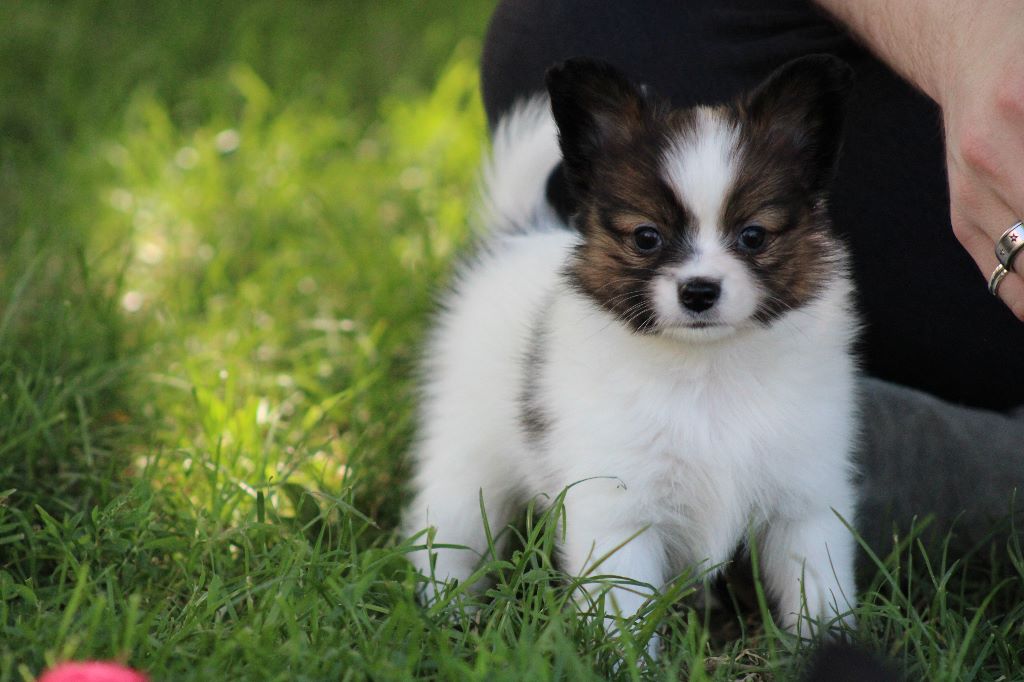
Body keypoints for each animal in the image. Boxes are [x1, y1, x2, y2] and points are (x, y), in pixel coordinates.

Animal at [403, 54, 860, 655]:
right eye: (647, 237)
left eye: (754, 236)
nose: (699, 291)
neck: (707, 371)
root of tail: (517, 237)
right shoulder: (619, 511)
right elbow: (624, 608)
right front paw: (629, 661)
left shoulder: (805, 500)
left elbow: (818, 586)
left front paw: (828, 646)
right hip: (466, 458)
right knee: (450, 531)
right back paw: (447, 613)